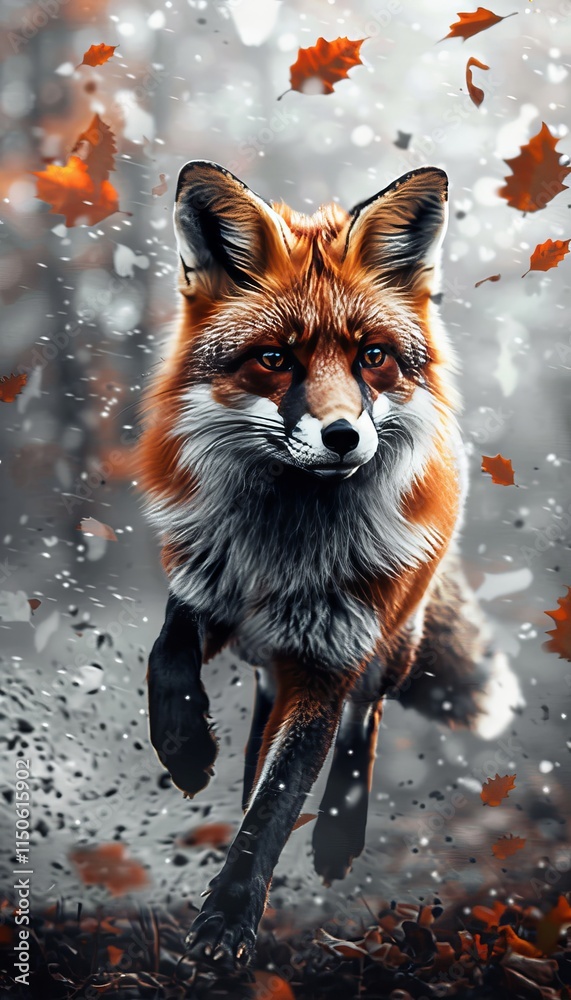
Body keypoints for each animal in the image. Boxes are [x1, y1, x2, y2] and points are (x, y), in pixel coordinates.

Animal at [138, 161, 522, 968]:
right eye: (274, 358)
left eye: (371, 356)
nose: (343, 436)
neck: (282, 551)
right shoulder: (204, 586)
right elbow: (166, 656)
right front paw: (185, 749)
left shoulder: (327, 661)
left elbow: (275, 807)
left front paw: (227, 922)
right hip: (269, 662)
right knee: (260, 731)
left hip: (385, 643)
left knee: (363, 720)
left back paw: (340, 839)